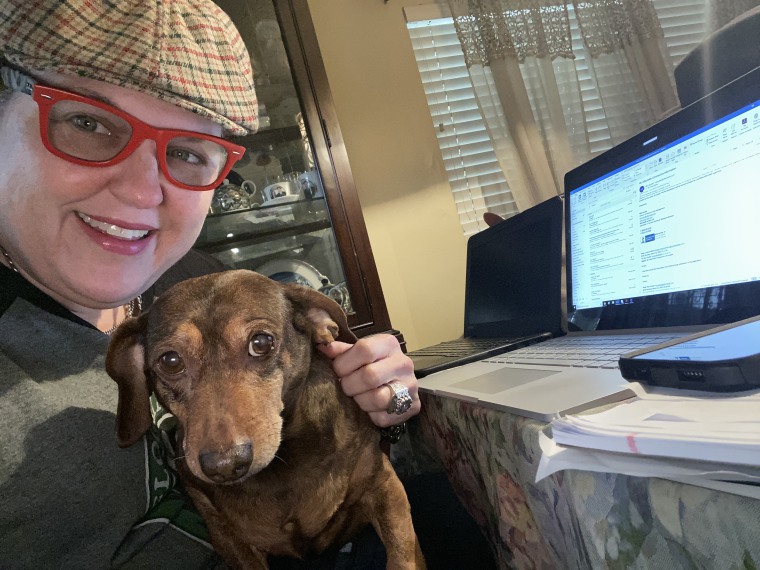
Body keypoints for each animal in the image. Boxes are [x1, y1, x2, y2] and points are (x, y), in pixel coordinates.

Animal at [106, 268, 424, 564]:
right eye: (170, 361)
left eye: (260, 343)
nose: (224, 466)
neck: (284, 466)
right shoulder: (229, 539)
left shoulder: (383, 487)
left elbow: (402, 554)